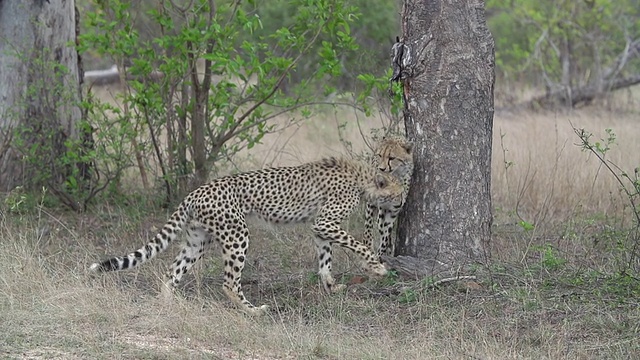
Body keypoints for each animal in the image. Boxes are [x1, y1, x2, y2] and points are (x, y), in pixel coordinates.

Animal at [89, 158, 402, 316]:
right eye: (398, 193)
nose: (400, 205)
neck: (362, 179)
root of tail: (195, 191)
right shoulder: (325, 221)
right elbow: (357, 244)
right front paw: (376, 267)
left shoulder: (320, 226)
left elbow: (325, 257)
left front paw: (330, 285)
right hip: (237, 234)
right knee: (229, 282)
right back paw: (252, 311)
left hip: (198, 240)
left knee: (171, 273)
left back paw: (169, 305)